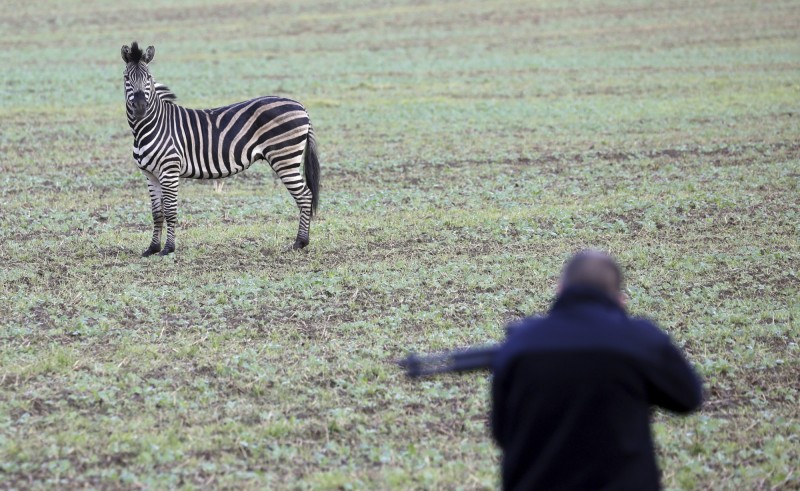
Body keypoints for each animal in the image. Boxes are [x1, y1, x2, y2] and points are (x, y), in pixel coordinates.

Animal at [120, 41, 320, 258]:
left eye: (148, 77)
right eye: (126, 78)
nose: (141, 107)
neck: (151, 125)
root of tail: (300, 106)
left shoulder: (169, 170)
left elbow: (171, 211)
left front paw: (168, 249)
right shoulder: (150, 174)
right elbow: (157, 213)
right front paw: (152, 248)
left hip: (285, 158)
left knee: (305, 196)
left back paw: (300, 242)